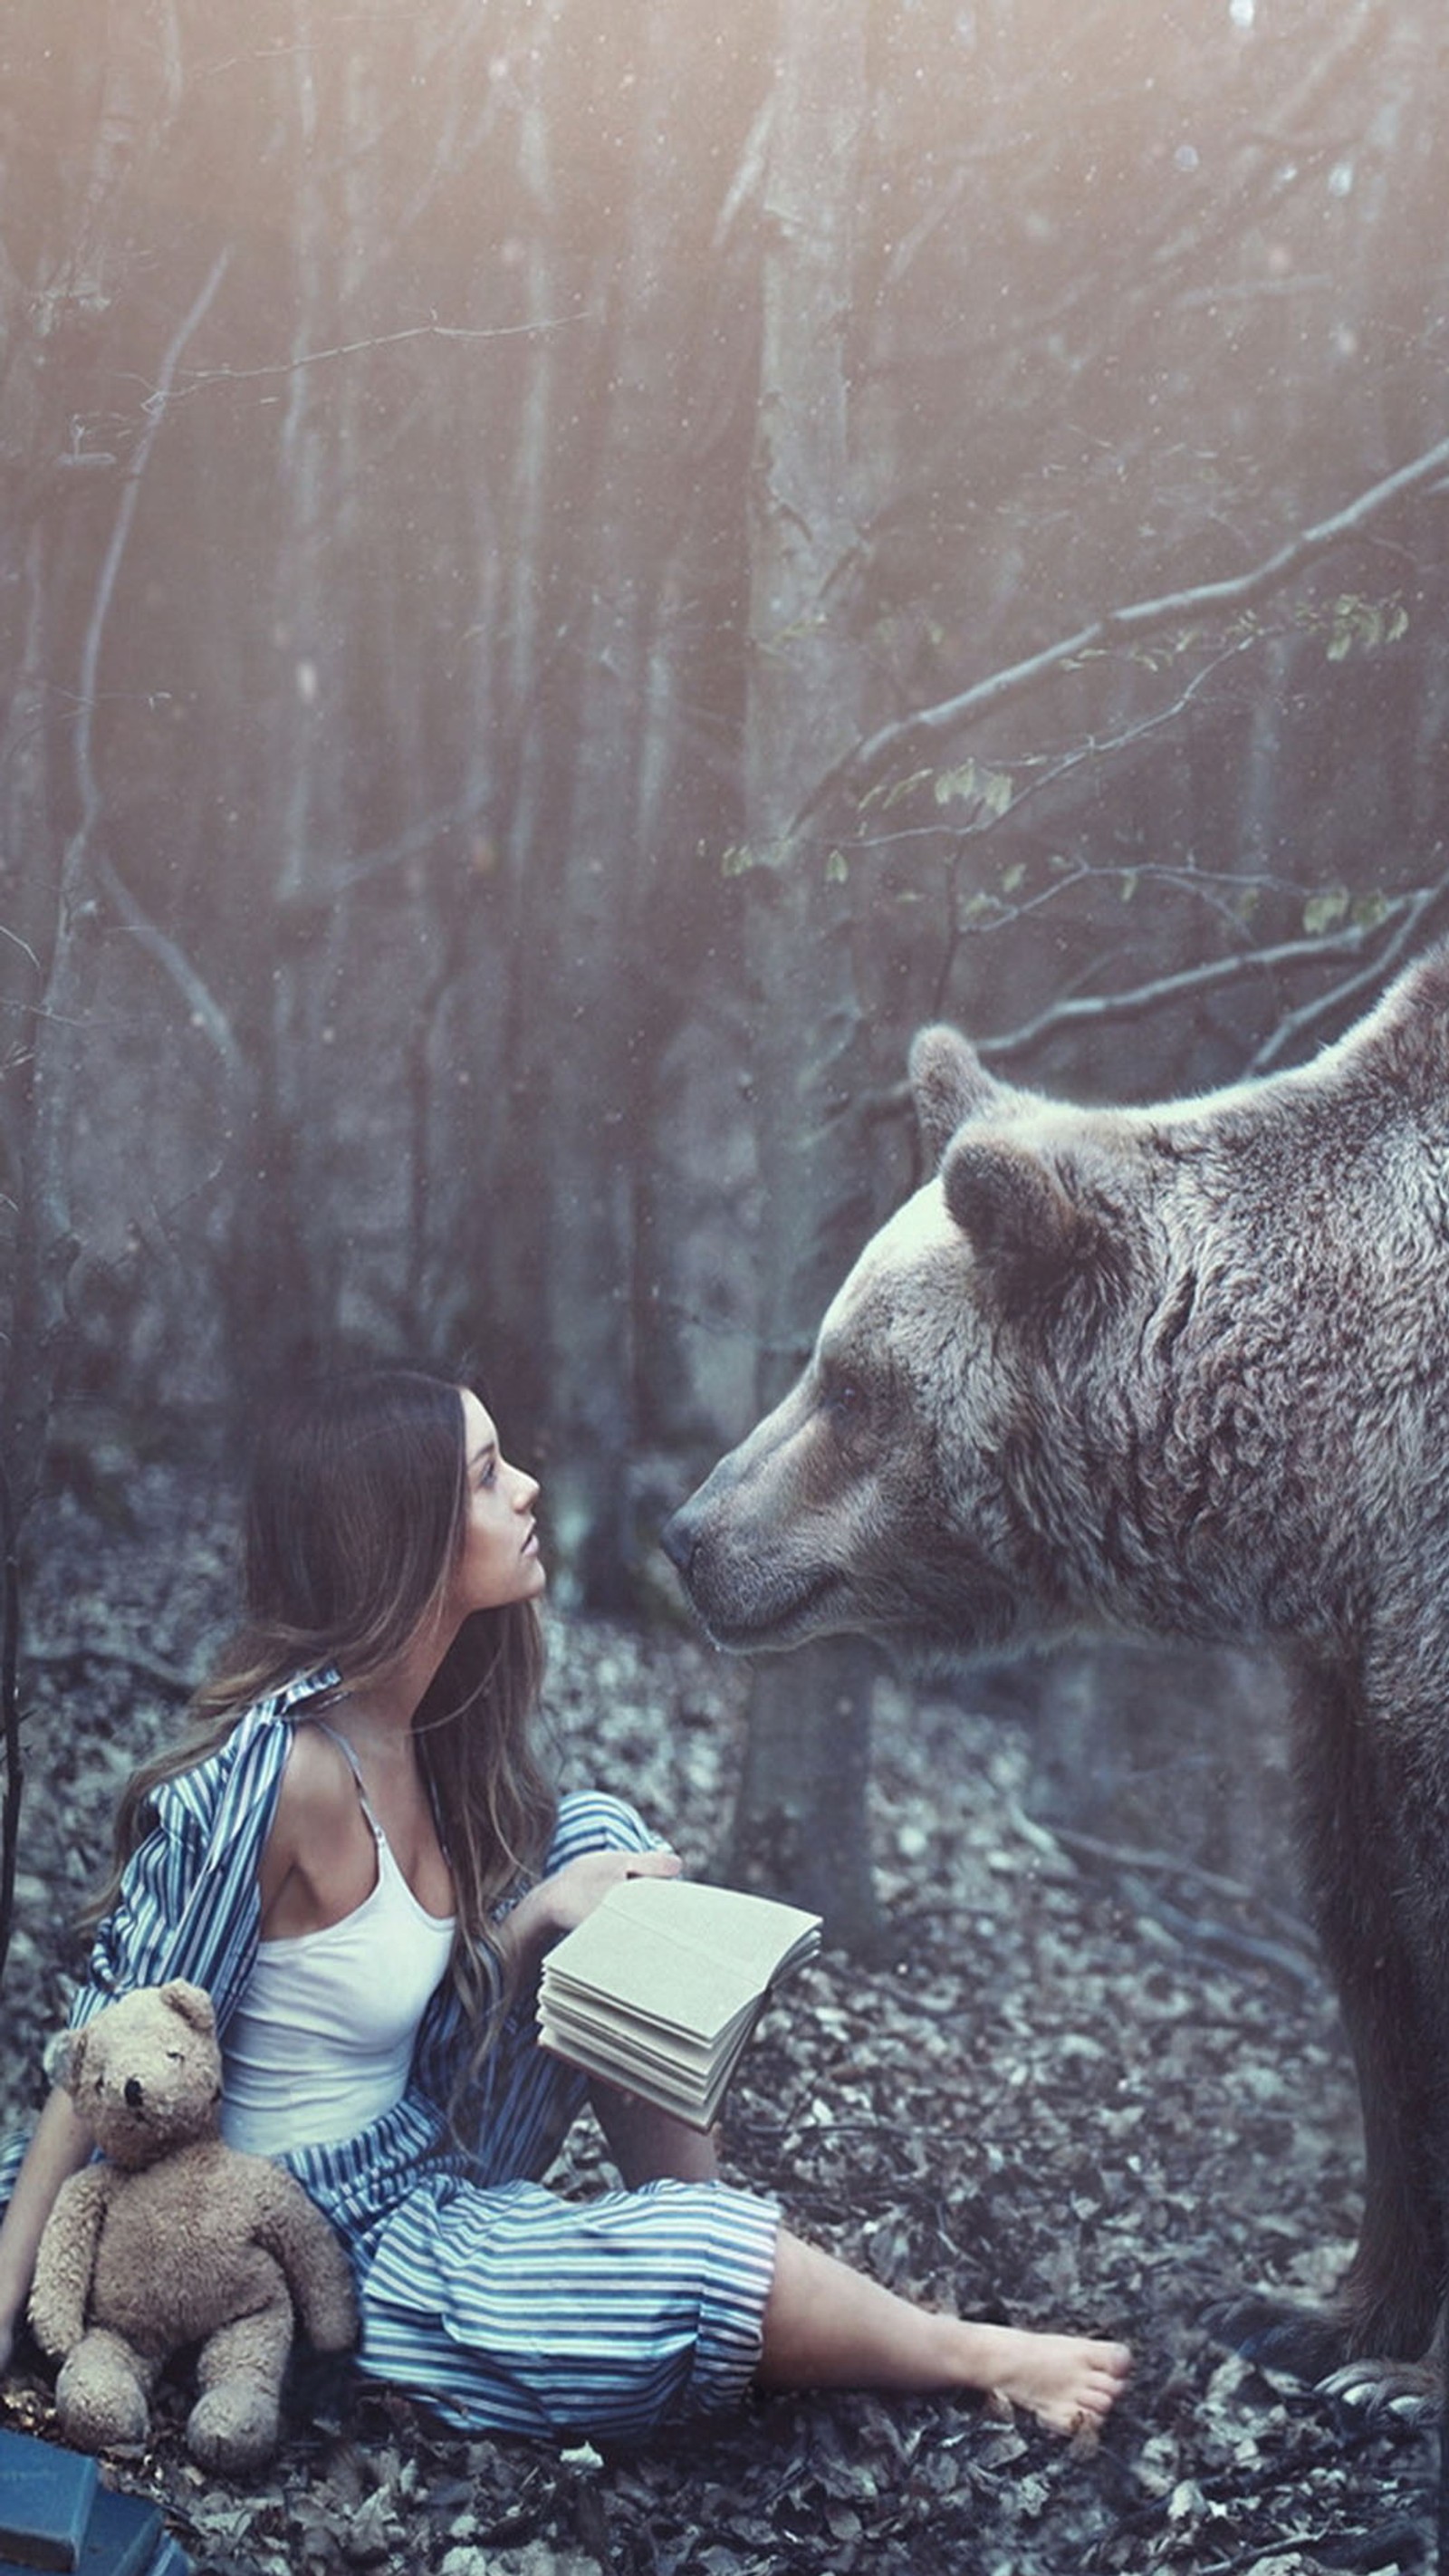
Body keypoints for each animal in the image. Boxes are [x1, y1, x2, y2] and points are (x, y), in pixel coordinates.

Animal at [674, 942, 1449, 2410]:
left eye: (850, 1385)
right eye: (822, 1357)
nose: (691, 1534)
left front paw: (1402, 2378)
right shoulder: (1354, 1664)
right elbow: (1376, 1938)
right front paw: (1324, 2315)